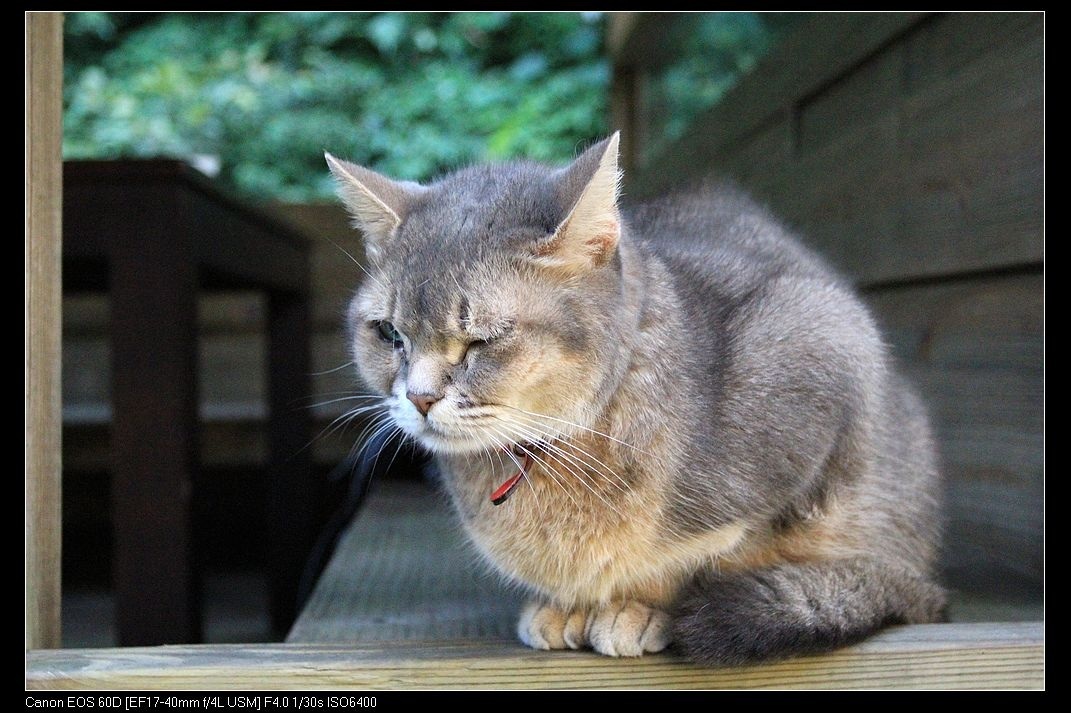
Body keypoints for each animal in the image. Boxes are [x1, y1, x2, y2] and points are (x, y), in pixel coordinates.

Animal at [325, 132, 945, 664]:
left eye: (484, 340)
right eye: (390, 334)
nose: (420, 399)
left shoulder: (822, 351)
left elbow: (718, 552)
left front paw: (639, 606)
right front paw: (567, 606)